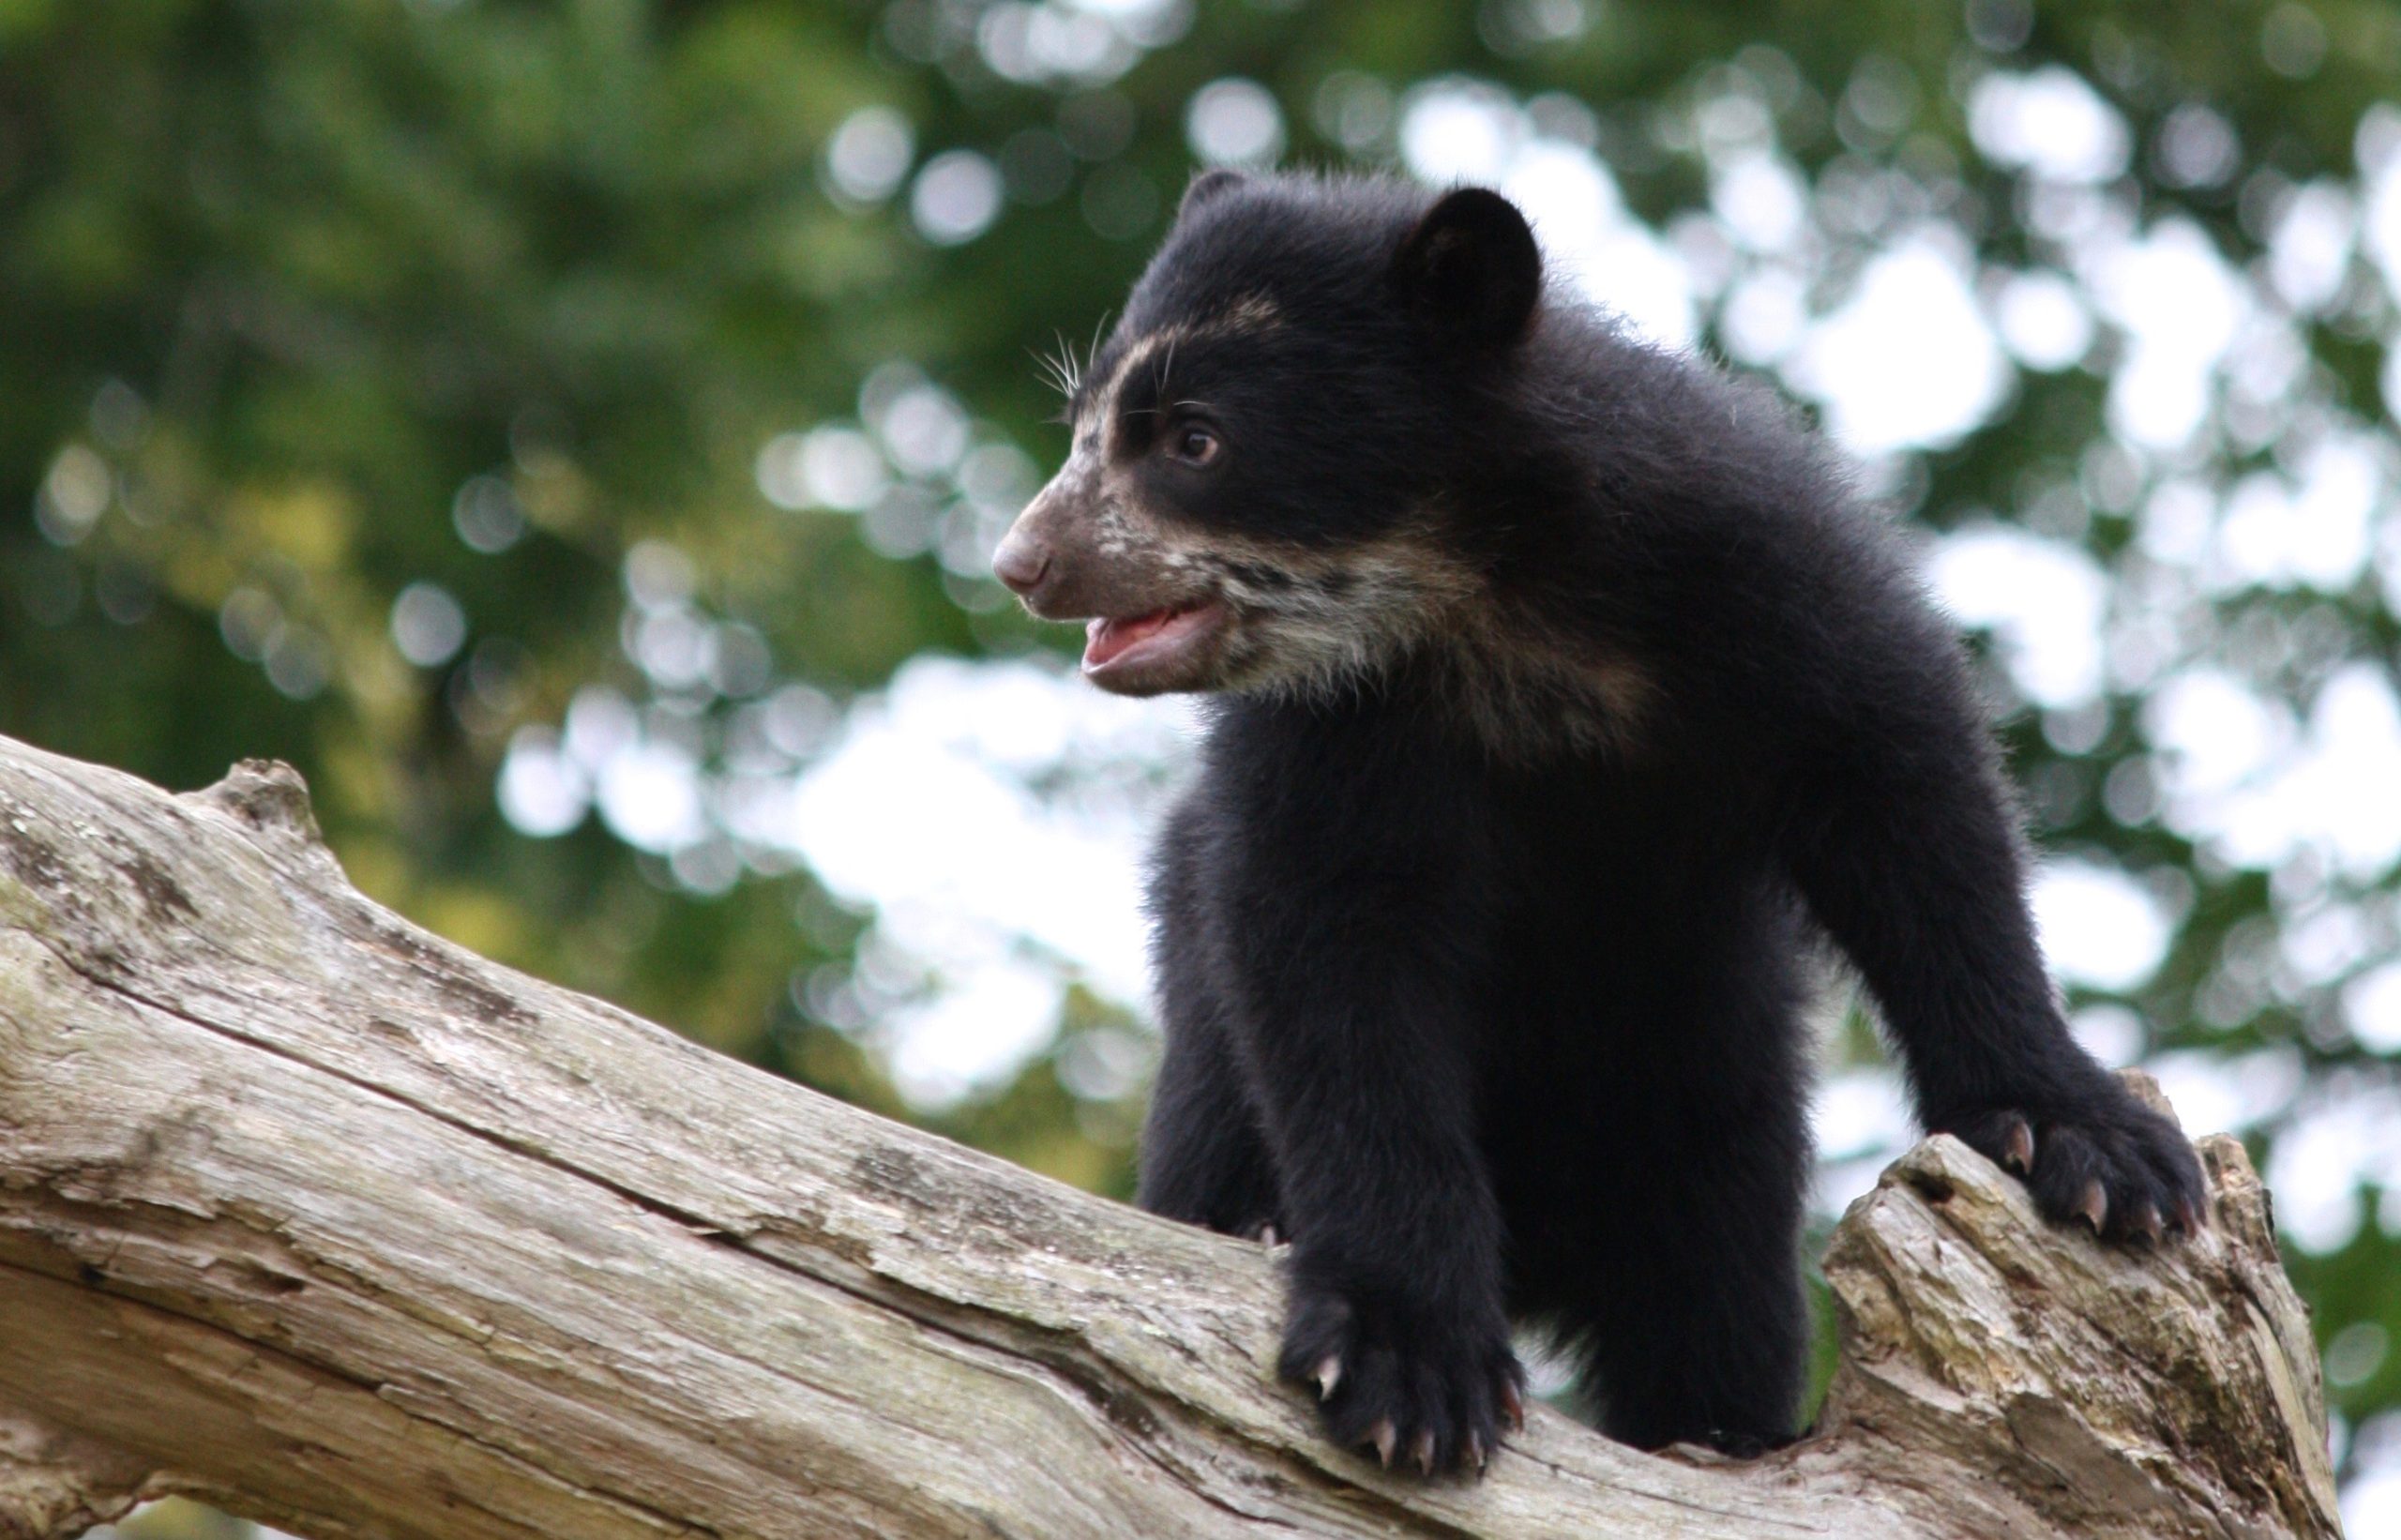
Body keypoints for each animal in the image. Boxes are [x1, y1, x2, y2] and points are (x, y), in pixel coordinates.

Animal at [989, 169, 2205, 1477]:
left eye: (1194, 439)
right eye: (1084, 424)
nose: (1024, 562)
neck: (1490, 606)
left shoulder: (1760, 587)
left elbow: (1914, 805)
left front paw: (2102, 1155)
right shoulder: (1331, 737)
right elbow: (1332, 961)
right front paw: (1407, 1365)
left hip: (1707, 1096)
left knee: (1717, 1301)